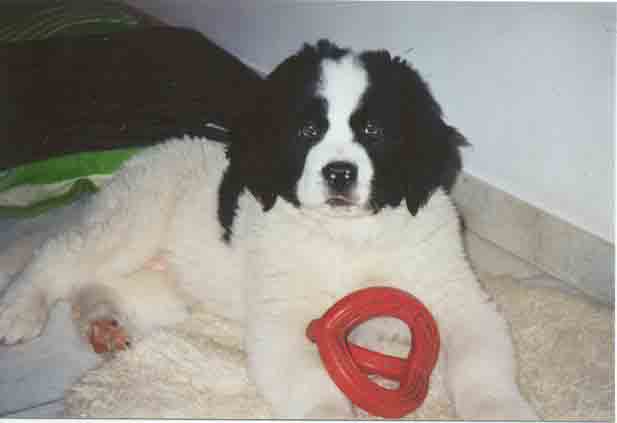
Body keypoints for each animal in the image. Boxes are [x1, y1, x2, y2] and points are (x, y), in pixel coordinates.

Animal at [0, 40, 537, 419]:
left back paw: (103, 324)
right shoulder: (286, 318)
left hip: (167, 285)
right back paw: (19, 310)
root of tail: (148, 154)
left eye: (374, 131)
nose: (339, 173)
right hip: (136, 218)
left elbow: (481, 360)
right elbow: (314, 384)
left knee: (93, 281)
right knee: (60, 253)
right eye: (308, 131)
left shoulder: (457, 295)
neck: (350, 235)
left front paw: (501, 411)